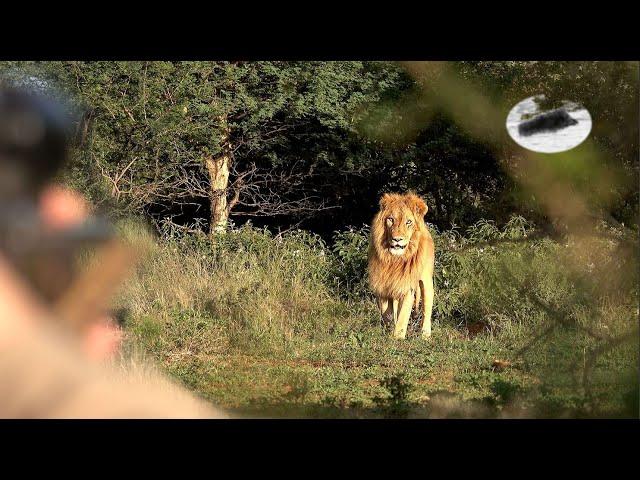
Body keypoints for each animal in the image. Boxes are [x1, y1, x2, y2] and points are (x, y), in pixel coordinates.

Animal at [370, 189, 436, 340]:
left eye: (408, 222)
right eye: (390, 219)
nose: (397, 239)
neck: (394, 260)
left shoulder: (407, 287)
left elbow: (403, 316)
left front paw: (397, 338)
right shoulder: (382, 286)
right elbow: (386, 313)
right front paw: (388, 329)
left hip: (426, 281)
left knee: (427, 309)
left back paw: (425, 335)